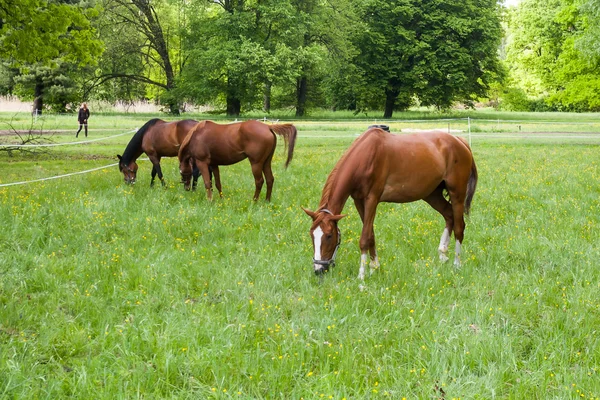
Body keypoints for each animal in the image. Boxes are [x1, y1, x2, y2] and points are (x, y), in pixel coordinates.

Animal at [304, 127, 478, 278]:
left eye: (329, 235)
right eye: (312, 235)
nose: (318, 269)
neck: (365, 157)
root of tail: (460, 141)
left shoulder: (372, 199)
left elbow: (364, 237)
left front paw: (362, 276)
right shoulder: (359, 201)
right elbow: (371, 234)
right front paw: (374, 268)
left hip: (457, 194)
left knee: (459, 226)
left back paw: (456, 264)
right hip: (432, 195)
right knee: (449, 216)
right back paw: (443, 254)